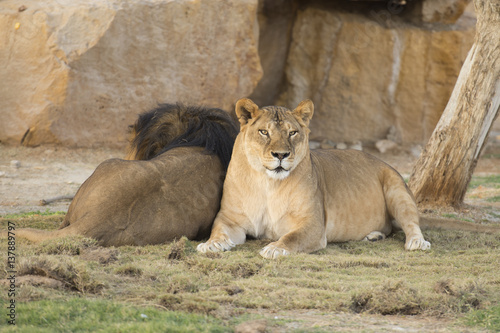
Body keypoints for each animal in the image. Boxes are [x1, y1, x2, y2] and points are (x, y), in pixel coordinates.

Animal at [197, 97, 432, 258]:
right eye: (264, 132)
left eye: (292, 133)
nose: (281, 155)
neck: (268, 183)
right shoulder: (230, 218)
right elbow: (218, 230)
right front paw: (211, 244)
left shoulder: (313, 223)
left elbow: (291, 237)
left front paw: (274, 248)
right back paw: (373, 235)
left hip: (397, 190)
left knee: (411, 223)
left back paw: (416, 242)